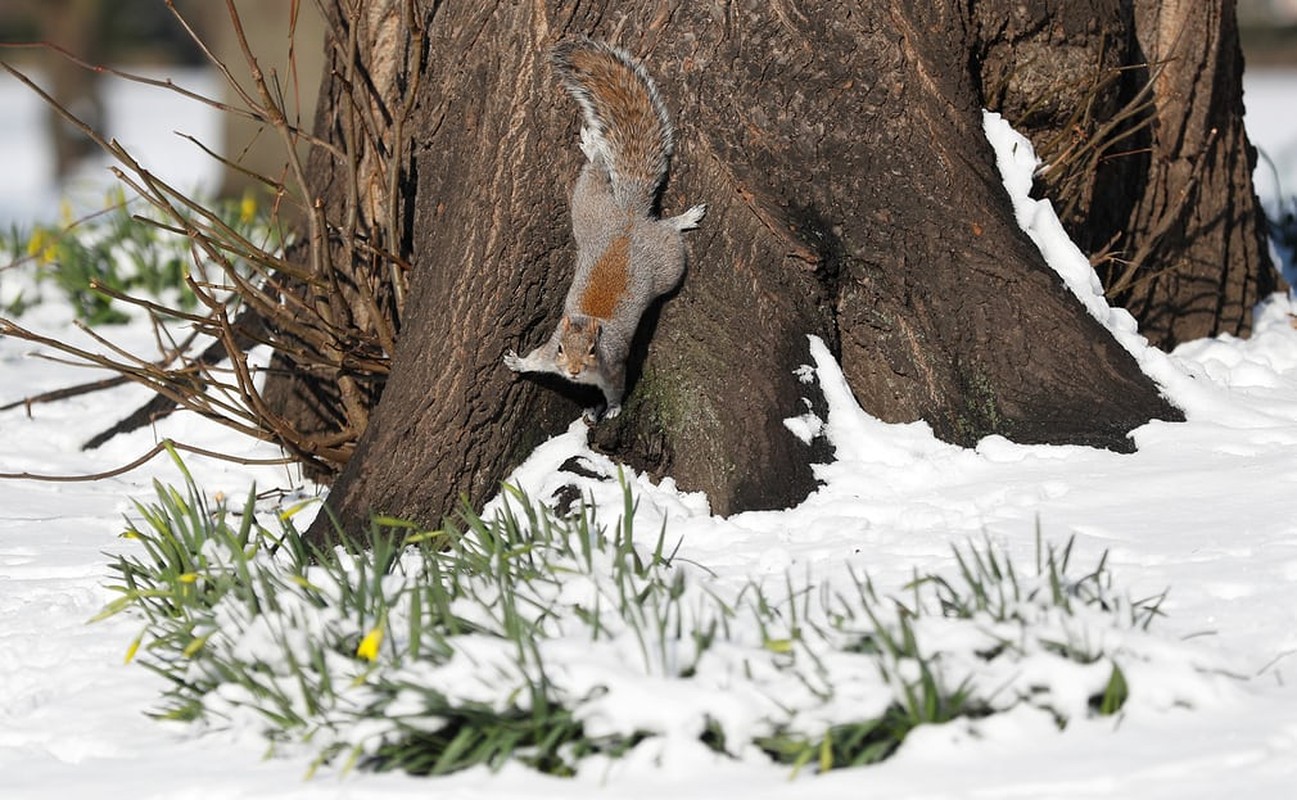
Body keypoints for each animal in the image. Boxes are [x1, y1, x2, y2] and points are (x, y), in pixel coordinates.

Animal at [500, 37, 705, 420]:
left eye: (594, 350)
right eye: (561, 348)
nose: (573, 371)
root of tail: (628, 217)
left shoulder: (614, 368)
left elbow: (617, 389)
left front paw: (611, 409)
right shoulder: (550, 354)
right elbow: (537, 360)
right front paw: (518, 361)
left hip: (668, 264)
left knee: (666, 230)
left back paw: (682, 219)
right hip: (588, 206)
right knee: (597, 171)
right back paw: (595, 146)